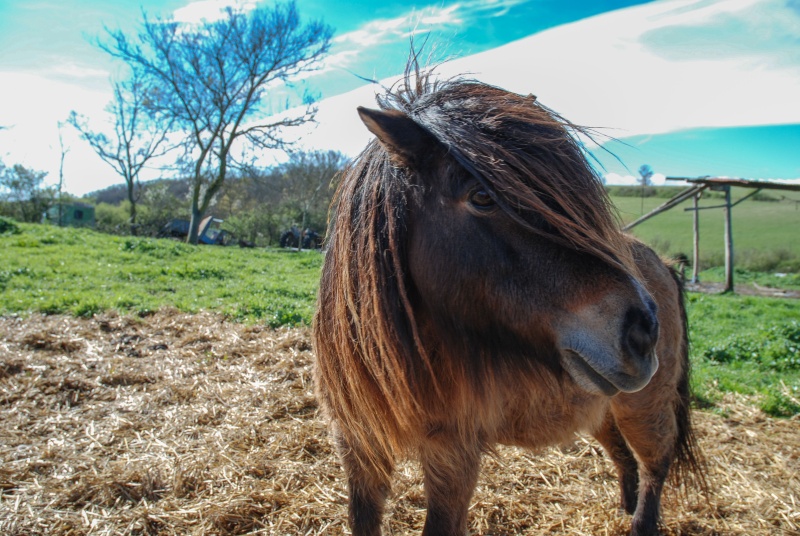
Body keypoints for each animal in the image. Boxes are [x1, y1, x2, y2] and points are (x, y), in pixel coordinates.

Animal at [312, 66, 700, 536]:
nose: (643, 330)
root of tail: (661, 263)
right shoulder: (358, 446)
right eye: (482, 196)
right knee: (621, 453)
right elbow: (362, 521)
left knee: (654, 465)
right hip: (603, 406)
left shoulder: (453, 457)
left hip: (644, 405)